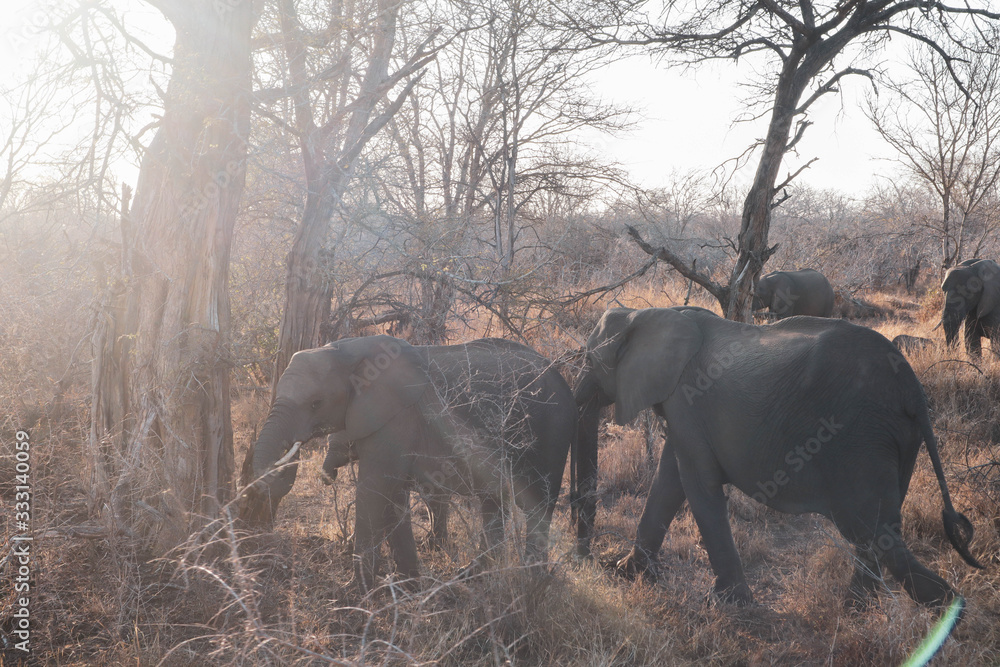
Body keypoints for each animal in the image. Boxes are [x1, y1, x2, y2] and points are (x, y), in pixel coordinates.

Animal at [239, 335, 576, 591]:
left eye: (315, 403)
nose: (326, 477)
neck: (347, 349)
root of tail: (562, 377)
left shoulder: (395, 417)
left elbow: (374, 491)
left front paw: (355, 593)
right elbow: (394, 495)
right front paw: (408, 586)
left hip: (551, 429)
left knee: (537, 505)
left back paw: (533, 585)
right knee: (494, 503)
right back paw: (472, 577)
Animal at [573, 306, 982, 607]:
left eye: (591, 361)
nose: (584, 559)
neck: (646, 315)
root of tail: (912, 388)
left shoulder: (687, 400)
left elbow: (697, 486)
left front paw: (729, 604)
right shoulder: (684, 408)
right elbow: (668, 479)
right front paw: (626, 571)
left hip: (861, 437)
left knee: (875, 532)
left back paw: (948, 612)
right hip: (898, 440)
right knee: (878, 534)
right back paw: (856, 609)